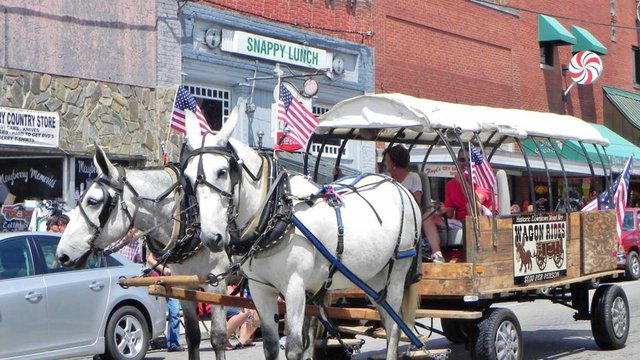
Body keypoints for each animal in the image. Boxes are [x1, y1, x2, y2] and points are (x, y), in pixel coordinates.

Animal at [55, 146, 230, 360]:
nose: (62, 255)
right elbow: (193, 336)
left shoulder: (217, 284)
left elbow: (218, 338)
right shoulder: (184, 285)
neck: (187, 216)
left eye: (93, 201)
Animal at [181, 109, 420, 360]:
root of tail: (398, 186)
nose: (211, 237)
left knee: (394, 327)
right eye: (186, 178)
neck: (276, 210)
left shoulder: (294, 286)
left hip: (397, 273)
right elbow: (272, 345)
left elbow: (295, 347)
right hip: (374, 278)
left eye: (222, 171)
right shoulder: (260, 289)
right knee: (386, 317)